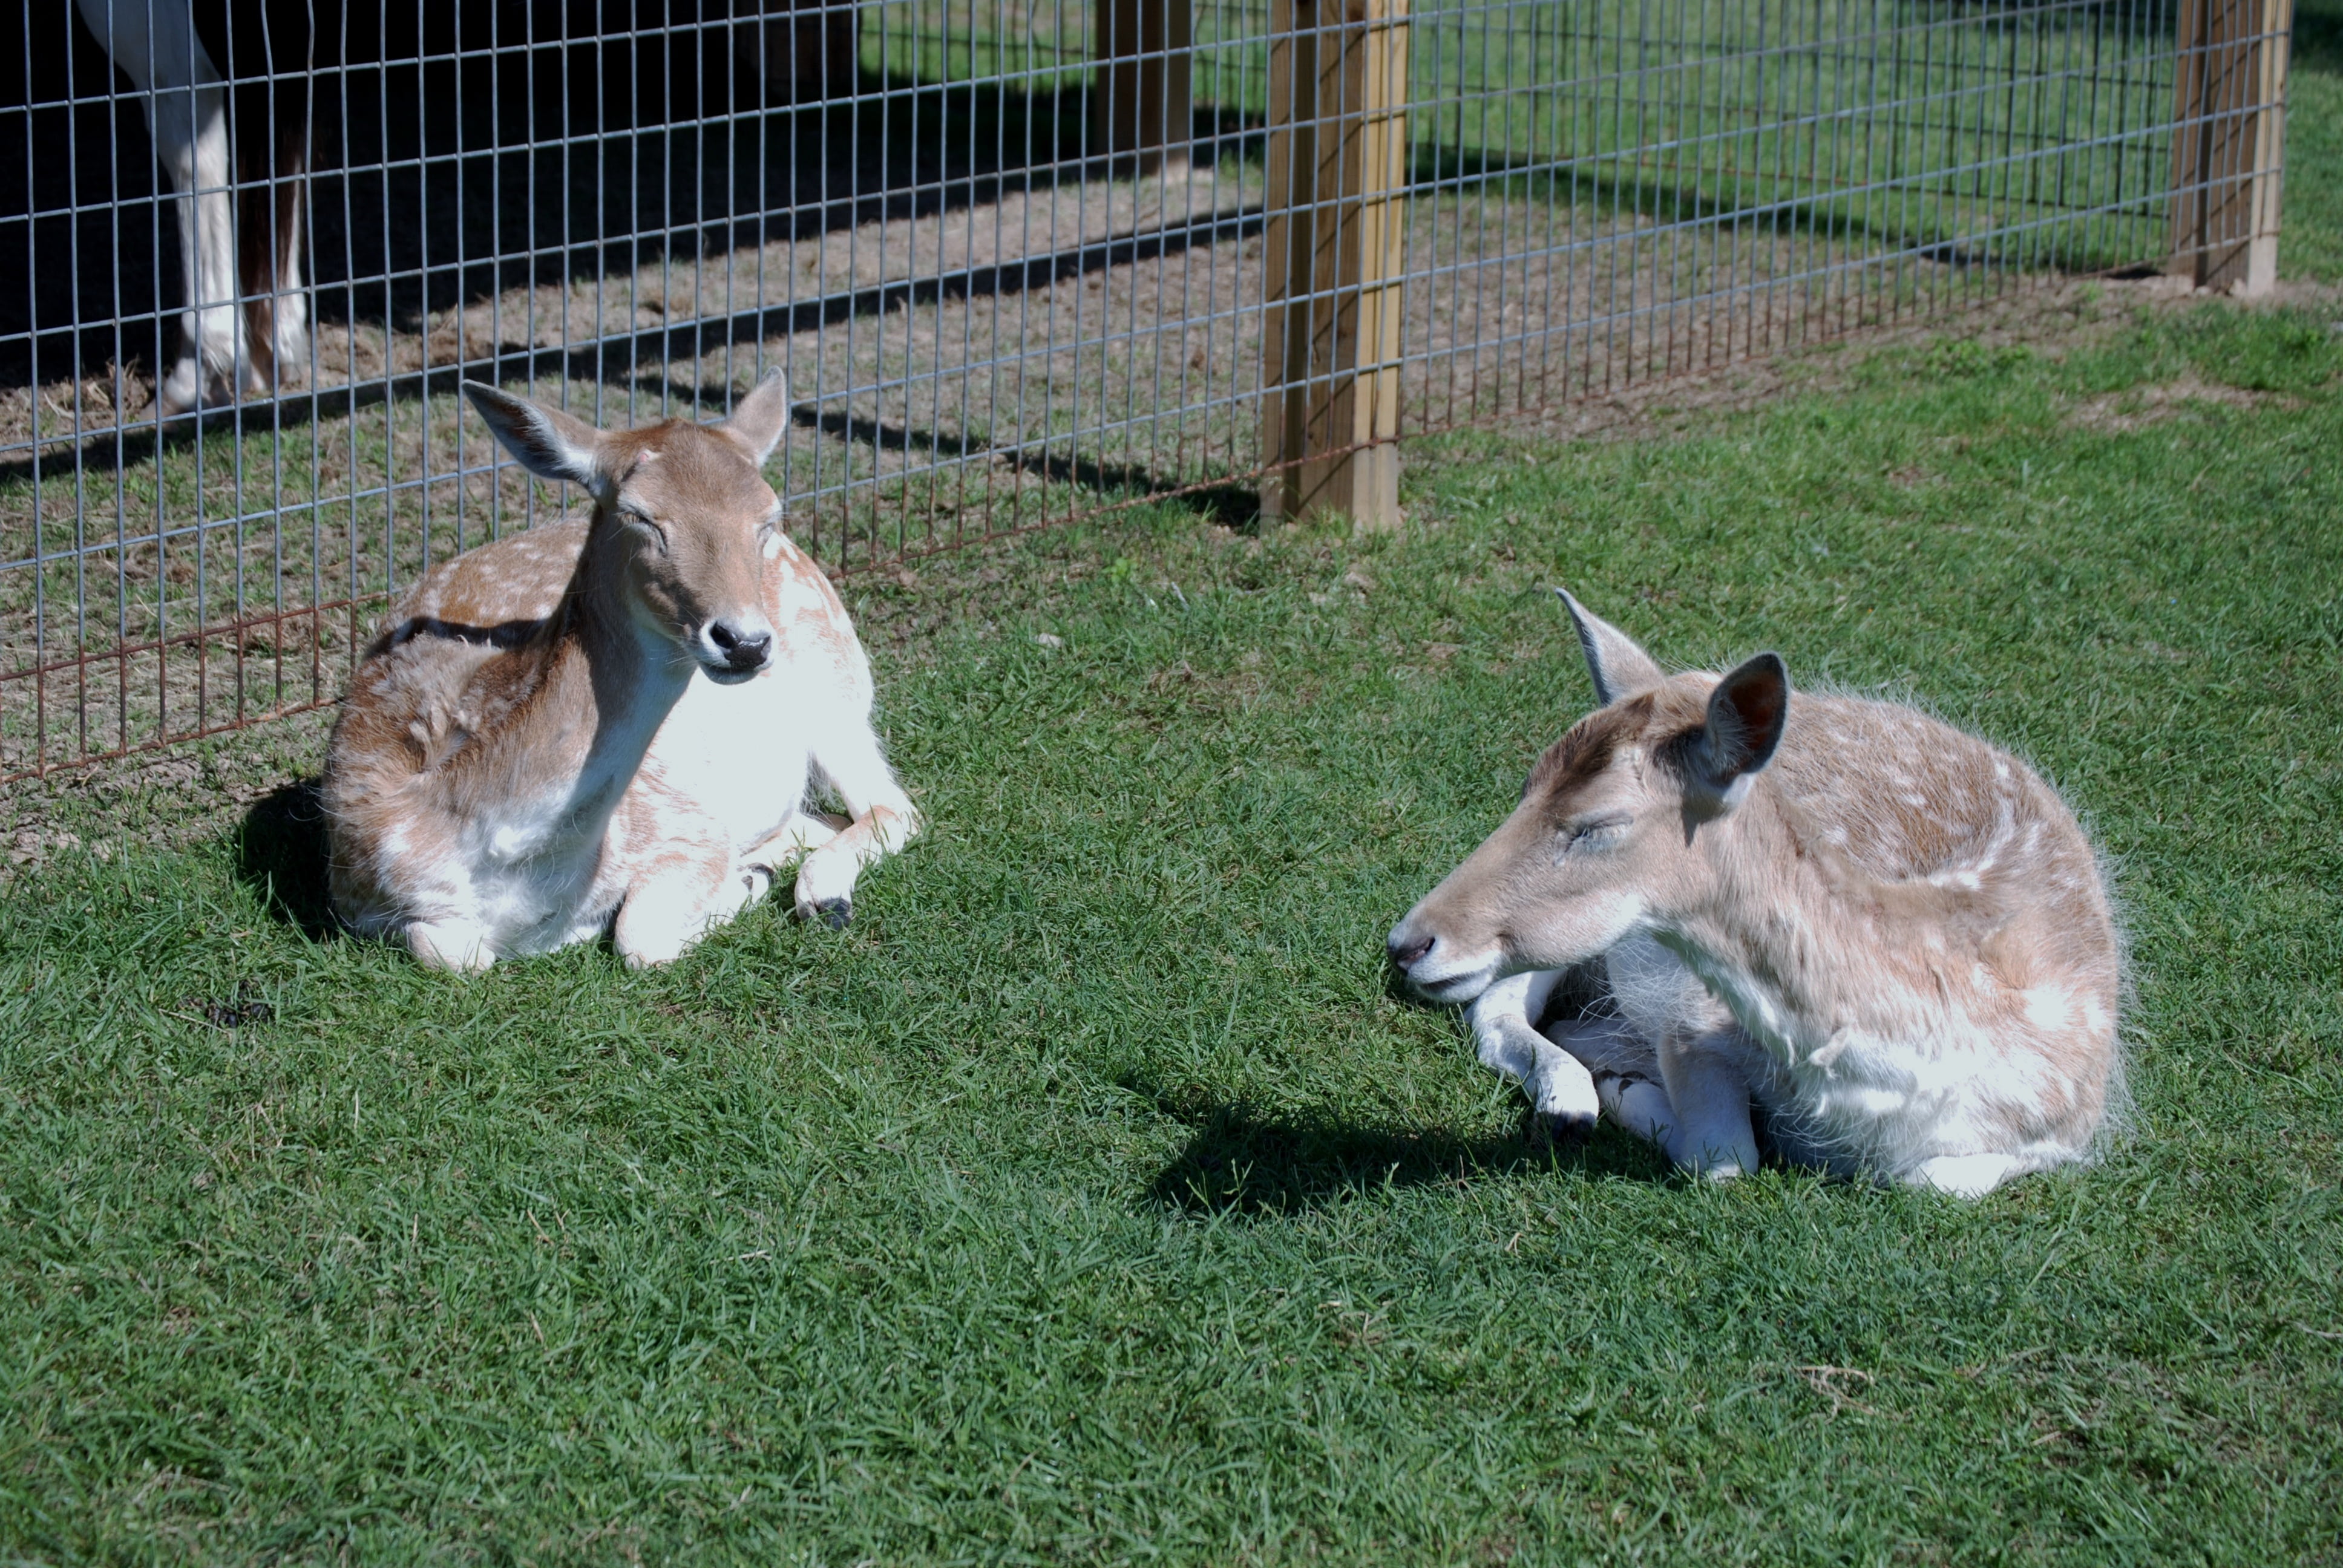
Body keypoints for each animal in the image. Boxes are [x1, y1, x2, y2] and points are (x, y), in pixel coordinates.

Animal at [323, 371, 920, 972]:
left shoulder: (688, 825)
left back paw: (819, 894)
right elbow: (448, 951)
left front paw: (742, 884)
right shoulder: (356, 900)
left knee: (894, 808)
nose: (745, 642)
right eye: (639, 515)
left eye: (768, 518)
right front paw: (748, 876)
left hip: (835, 688)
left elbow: (639, 937)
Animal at [1385, 591, 2121, 1198]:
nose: (1408, 943)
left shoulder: (2069, 1125)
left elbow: (1933, 1180)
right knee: (1498, 1006)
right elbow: (1724, 1156)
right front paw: (1623, 1087)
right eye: (1524, 787)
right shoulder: (1691, 1015)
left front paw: (1623, 1073)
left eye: (1597, 824)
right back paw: (1572, 1098)